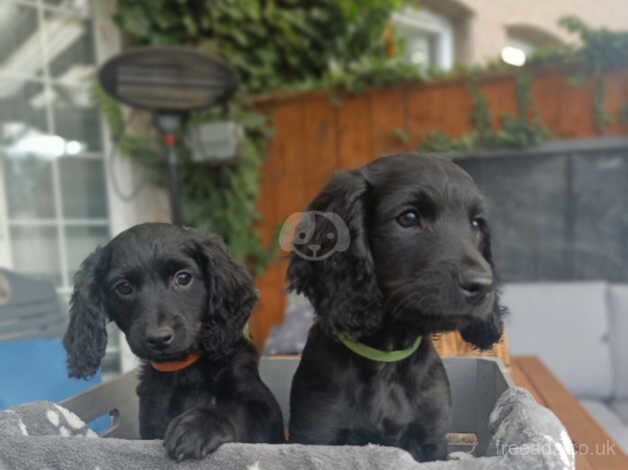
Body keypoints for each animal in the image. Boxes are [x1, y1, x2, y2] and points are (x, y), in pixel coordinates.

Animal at [63, 223, 282, 458]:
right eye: (123, 287)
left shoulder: (263, 408)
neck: (184, 371)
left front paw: (196, 426)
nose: (159, 338)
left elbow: (234, 409)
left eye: (183, 278)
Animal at [288, 153, 506, 458]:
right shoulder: (316, 433)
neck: (386, 359)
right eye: (409, 217)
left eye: (476, 223)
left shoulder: (432, 439)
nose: (483, 285)